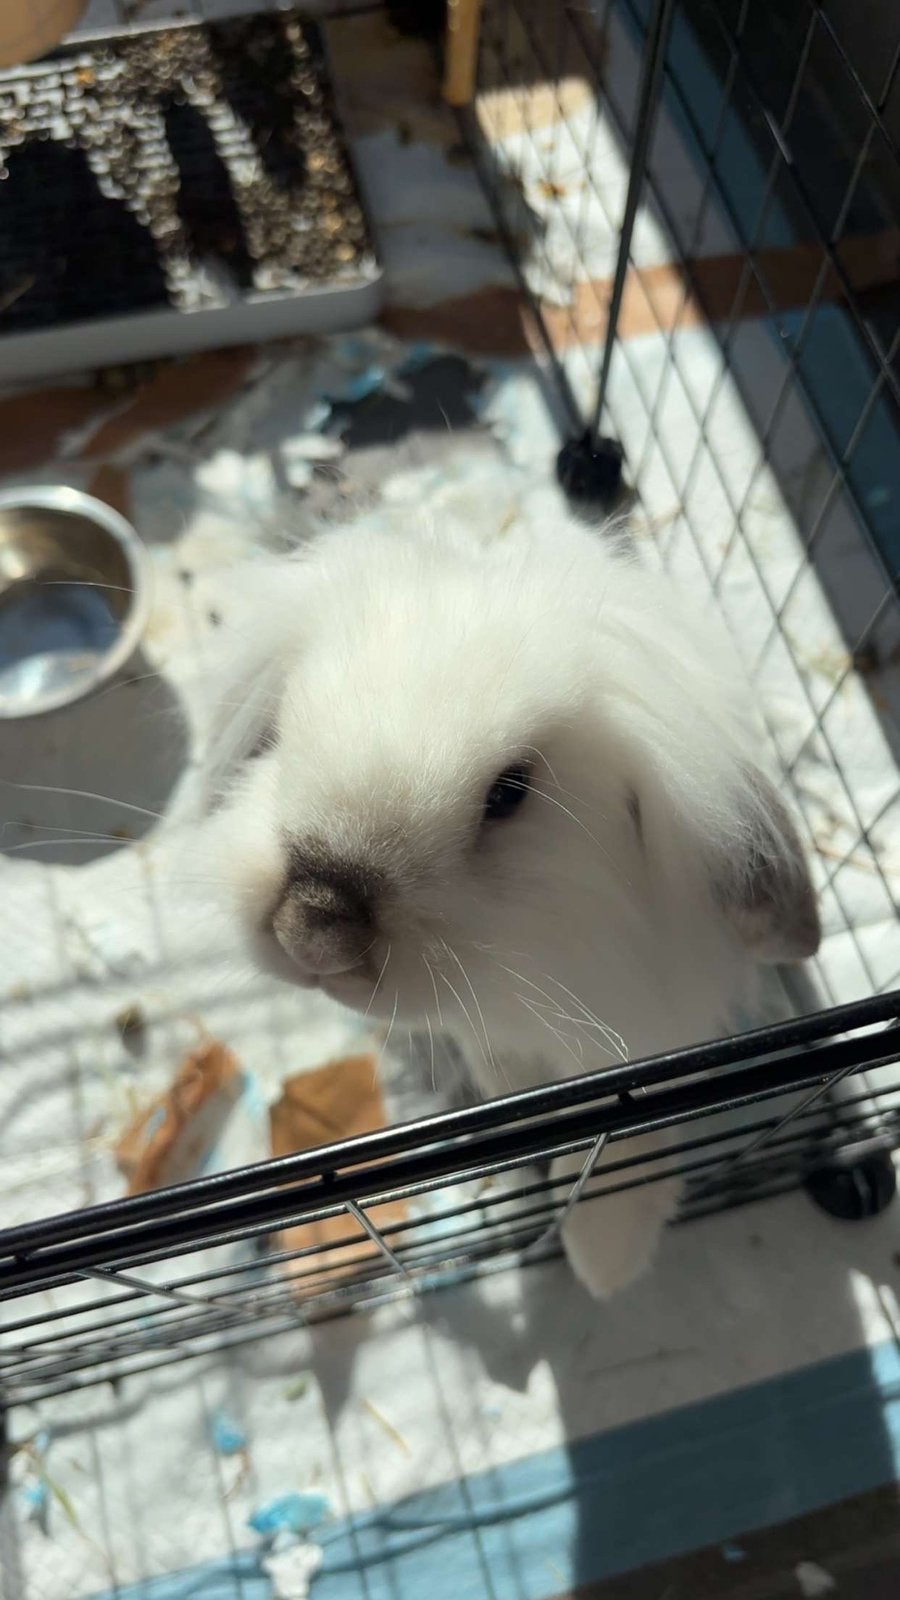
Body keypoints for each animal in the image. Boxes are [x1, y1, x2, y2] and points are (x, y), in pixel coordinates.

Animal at [200, 508, 820, 1298]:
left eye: (509, 792)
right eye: (281, 733)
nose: (311, 931)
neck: (530, 963)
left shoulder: (650, 1040)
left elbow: (623, 1148)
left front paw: (604, 1264)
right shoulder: (484, 1032)